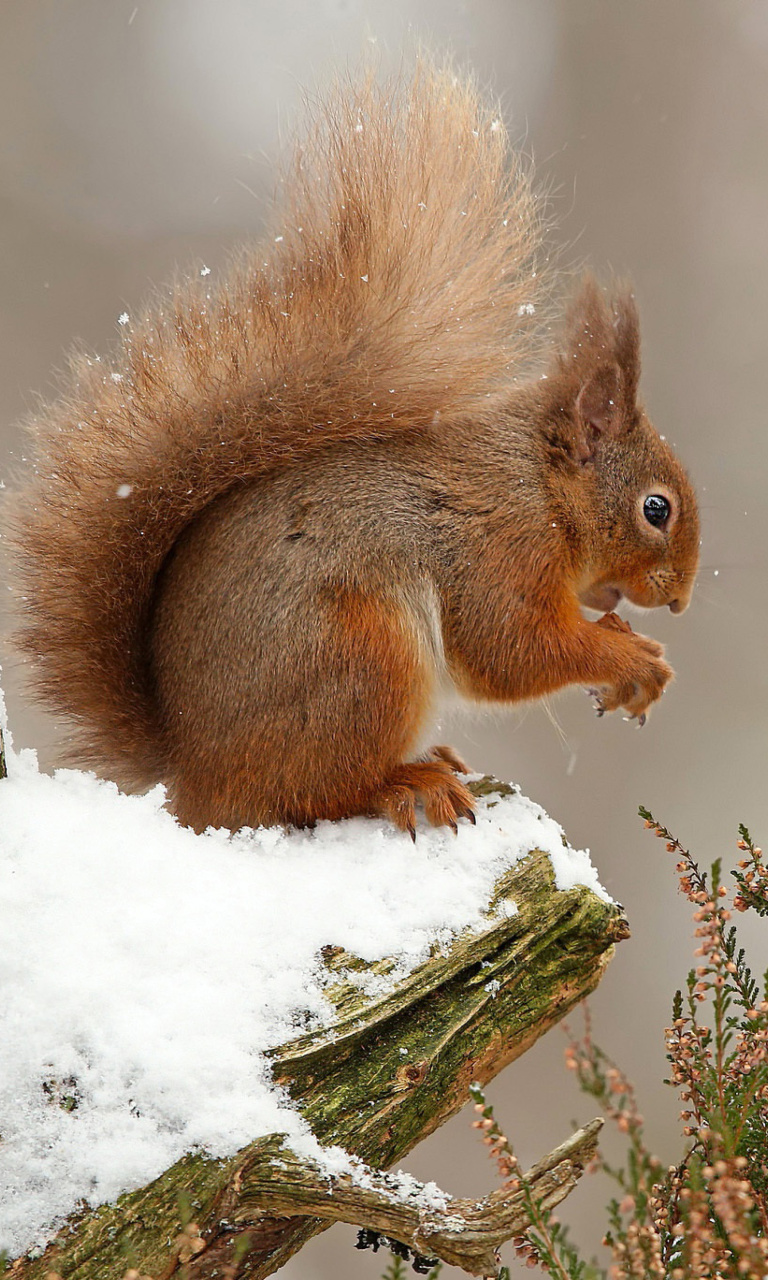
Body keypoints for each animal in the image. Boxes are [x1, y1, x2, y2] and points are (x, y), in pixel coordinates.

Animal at [6, 64, 701, 834]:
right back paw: (406, 782)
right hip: (363, 659)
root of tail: (194, 779)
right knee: (311, 794)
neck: (539, 486)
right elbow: (511, 649)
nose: (679, 600)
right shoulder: (500, 548)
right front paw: (631, 657)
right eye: (657, 509)